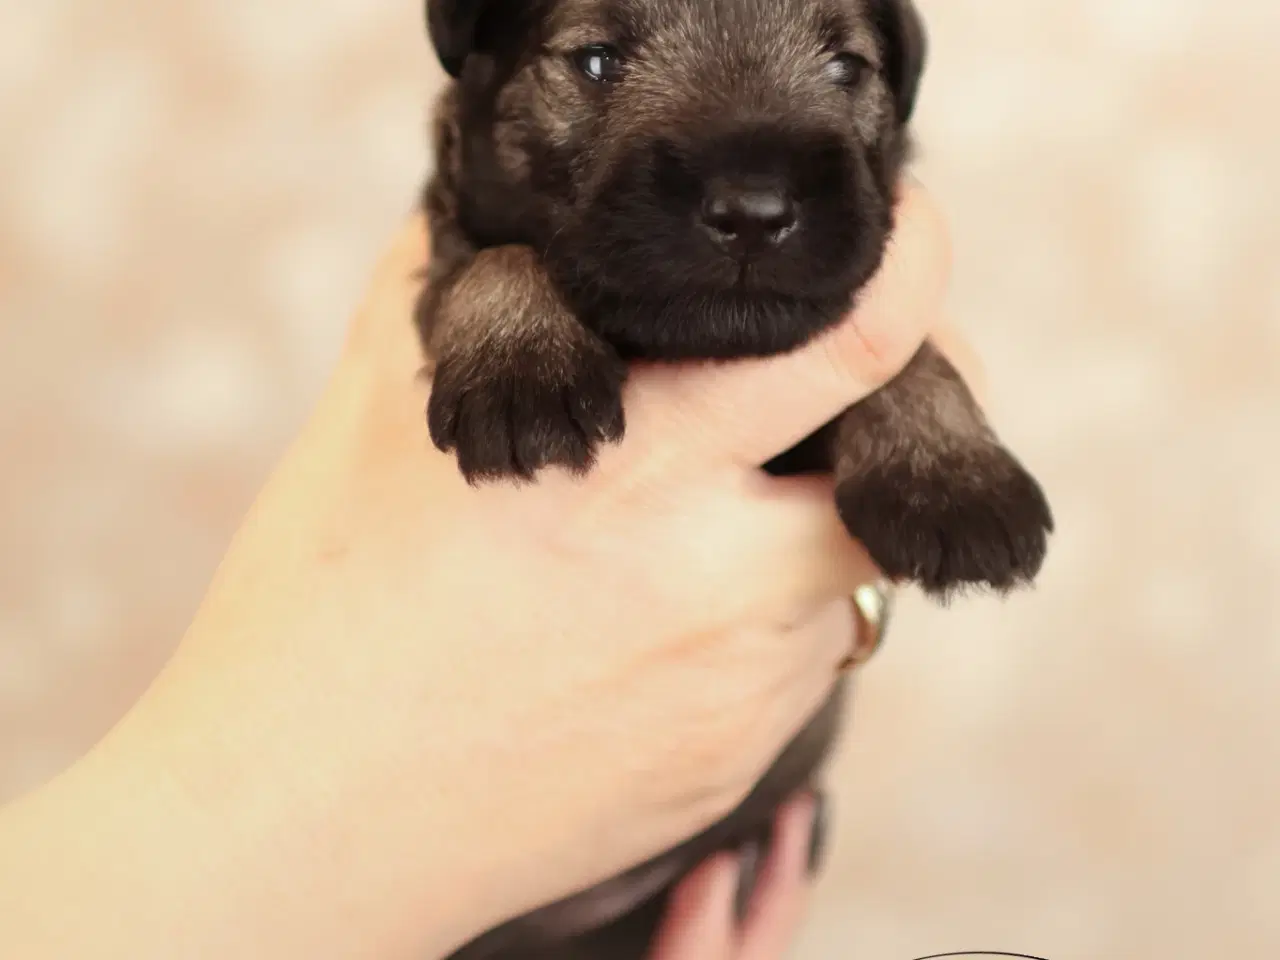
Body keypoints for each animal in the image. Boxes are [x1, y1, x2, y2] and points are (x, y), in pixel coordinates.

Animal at [412, 1, 1049, 957]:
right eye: (596, 61)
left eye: (844, 69)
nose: (753, 213)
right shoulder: (442, 244)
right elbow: (491, 261)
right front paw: (520, 367)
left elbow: (904, 354)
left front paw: (953, 481)